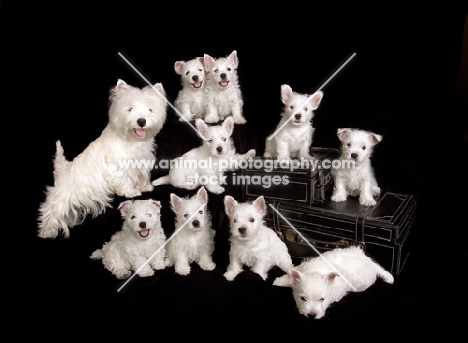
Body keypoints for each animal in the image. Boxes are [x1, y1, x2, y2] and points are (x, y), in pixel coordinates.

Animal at [37, 79, 167, 239]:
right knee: (50, 209)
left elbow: (141, 175)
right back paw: (47, 231)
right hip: (62, 196)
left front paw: (145, 186)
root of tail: (62, 168)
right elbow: (124, 179)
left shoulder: (141, 161)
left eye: (150, 109)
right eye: (130, 109)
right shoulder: (118, 166)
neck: (132, 140)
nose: (141, 121)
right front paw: (130, 191)